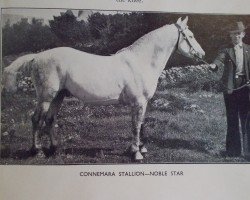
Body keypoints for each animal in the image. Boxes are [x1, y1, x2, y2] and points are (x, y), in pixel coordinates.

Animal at [2, 17, 204, 161]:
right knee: (37, 119)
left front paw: (137, 149)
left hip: (58, 96)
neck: (141, 62)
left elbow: (139, 125)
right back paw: (36, 151)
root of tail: (36, 57)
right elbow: (137, 126)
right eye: (190, 36)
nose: (202, 54)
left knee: (50, 120)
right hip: (46, 97)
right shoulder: (139, 102)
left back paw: (54, 149)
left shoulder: (141, 103)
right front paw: (137, 154)